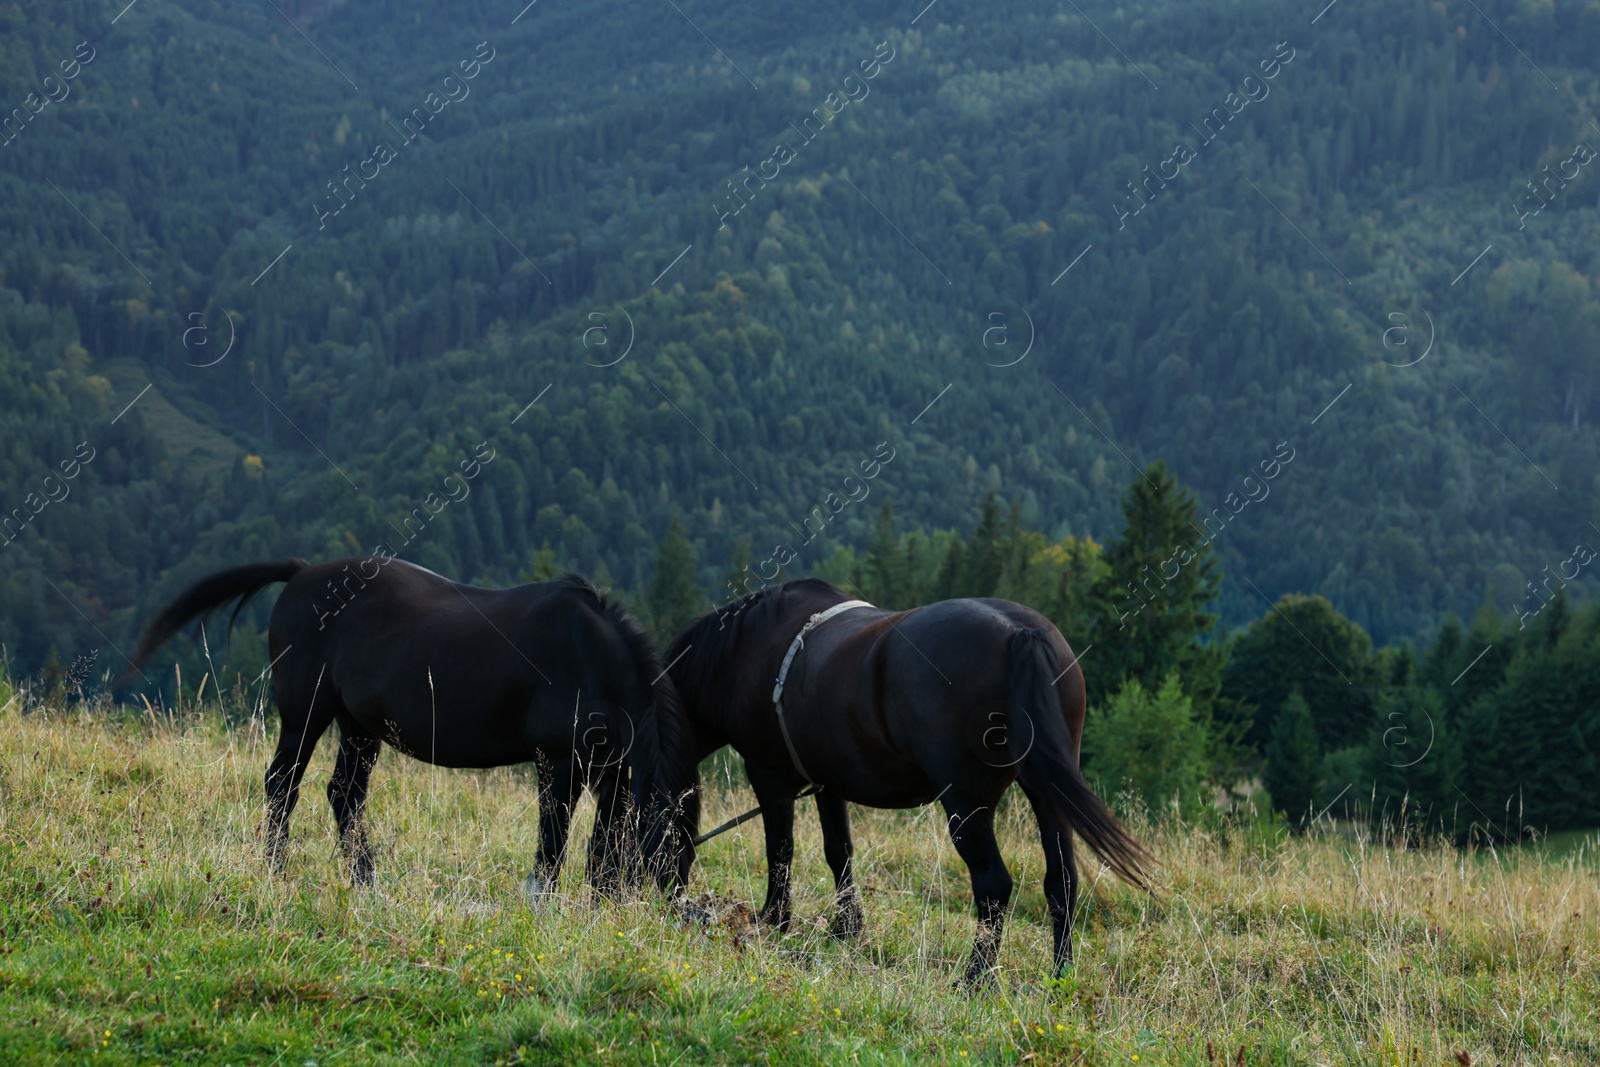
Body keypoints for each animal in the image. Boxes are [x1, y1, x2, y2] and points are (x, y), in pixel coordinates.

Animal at [121, 559, 697, 895]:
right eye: (669, 851)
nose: (667, 908)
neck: (591, 656)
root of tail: (303, 573)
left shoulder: (611, 768)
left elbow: (606, 843)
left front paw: (600, 901)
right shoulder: (557, 761)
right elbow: (553, 838)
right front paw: (545, 899)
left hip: (358, 727)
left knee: (344, 794)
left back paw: (366, 882)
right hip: (305, 714)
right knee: (282, 784)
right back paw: (277, 872)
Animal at [662, 579, 1152, 991]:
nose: (663, 897)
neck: (743, 652)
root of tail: (1020, 633)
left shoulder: (769, 775)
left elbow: (780, 850)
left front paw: (775, 920)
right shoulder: (827, 782)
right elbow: (838, 850)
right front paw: (846, 927)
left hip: (966, 804)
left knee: (993, 885)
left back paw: (974, 980)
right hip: (1049, 798)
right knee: (1061, 881)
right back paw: (1059, 975)